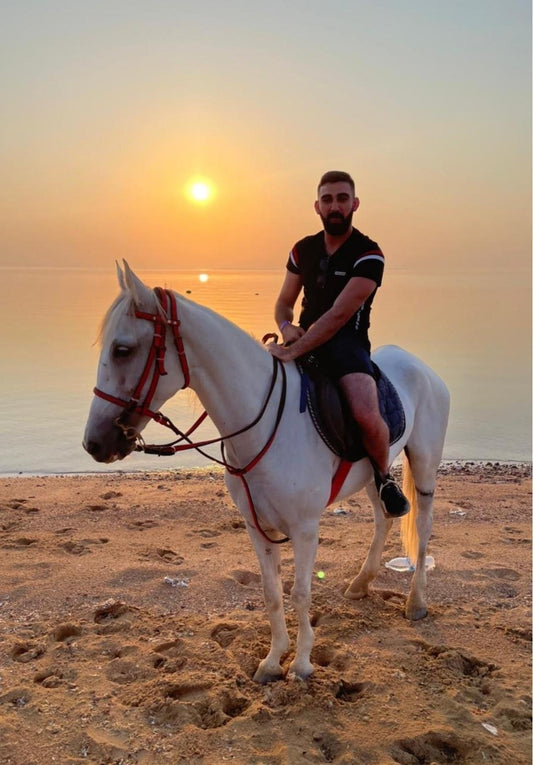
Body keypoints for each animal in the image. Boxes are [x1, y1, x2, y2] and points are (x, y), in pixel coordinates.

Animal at [83, 262, 448, 680]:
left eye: (122, 349)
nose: (94, 443)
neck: (263, 423)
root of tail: (419, 365)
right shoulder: (257, 527)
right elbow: (272, 593)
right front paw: (274, 660)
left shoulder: (305, 529)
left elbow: (300, 592)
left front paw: (302, 662)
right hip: (377, 469)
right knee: (383, 517)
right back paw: (360, 584)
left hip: (424, 463)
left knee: (422, 526)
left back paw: (416, 602)